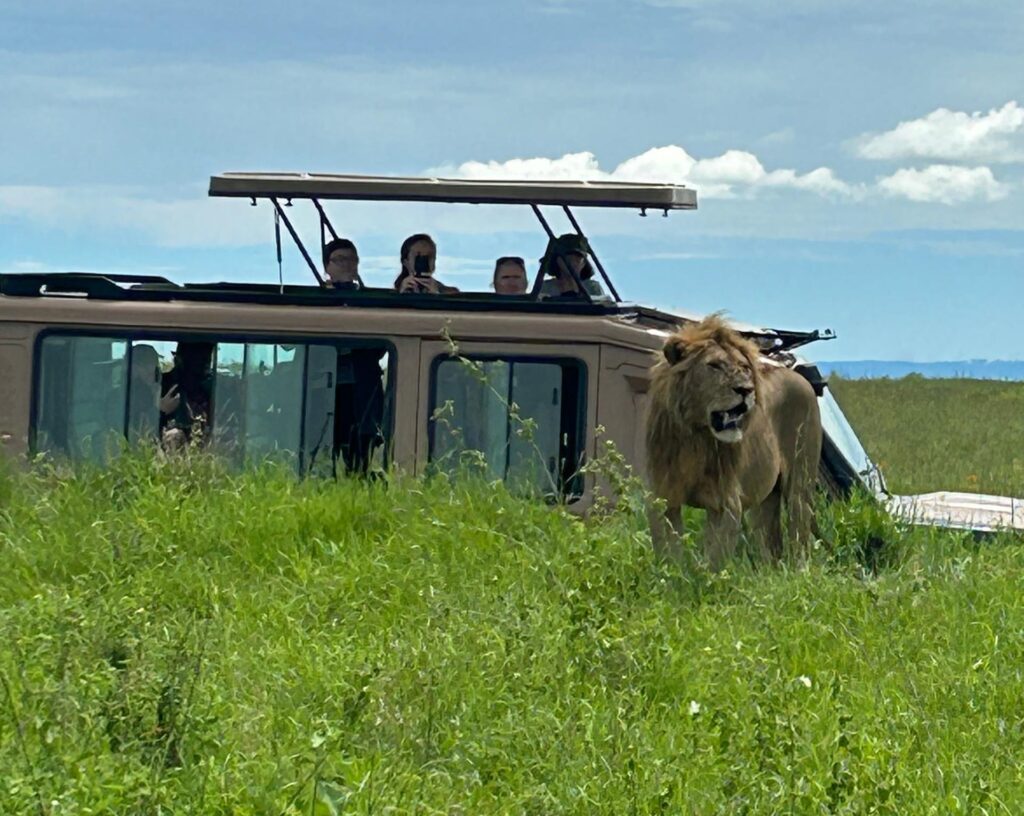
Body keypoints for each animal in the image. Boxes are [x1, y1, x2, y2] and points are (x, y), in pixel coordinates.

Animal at [645, 314, 822, 571]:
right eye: (714, 366)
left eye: (745, 368)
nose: (746, 390)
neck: (697, 437)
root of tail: (800, 377)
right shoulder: (663, 496)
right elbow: (669, 552)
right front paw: (671, 576)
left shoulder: (725, 503)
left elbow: (715, 559)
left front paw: (706, 580)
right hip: (764, 500)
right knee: (771, 544)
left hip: (800, 482)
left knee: (799, 532)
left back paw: (800, 571)